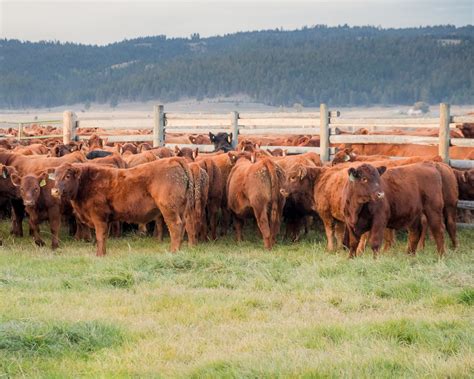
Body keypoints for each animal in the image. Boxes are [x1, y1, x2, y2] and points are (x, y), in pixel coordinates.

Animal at [51, 157, 193, 255]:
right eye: (55, 177)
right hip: (181, 209)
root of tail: (174, 159)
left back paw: (173, 251)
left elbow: (100, 236)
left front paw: (99, 255)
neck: (86, 183)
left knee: (175, 226)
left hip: (168, 209)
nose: (54, 191)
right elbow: (104, 237)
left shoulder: (99, 217)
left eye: (67, 176)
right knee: (183, 226)